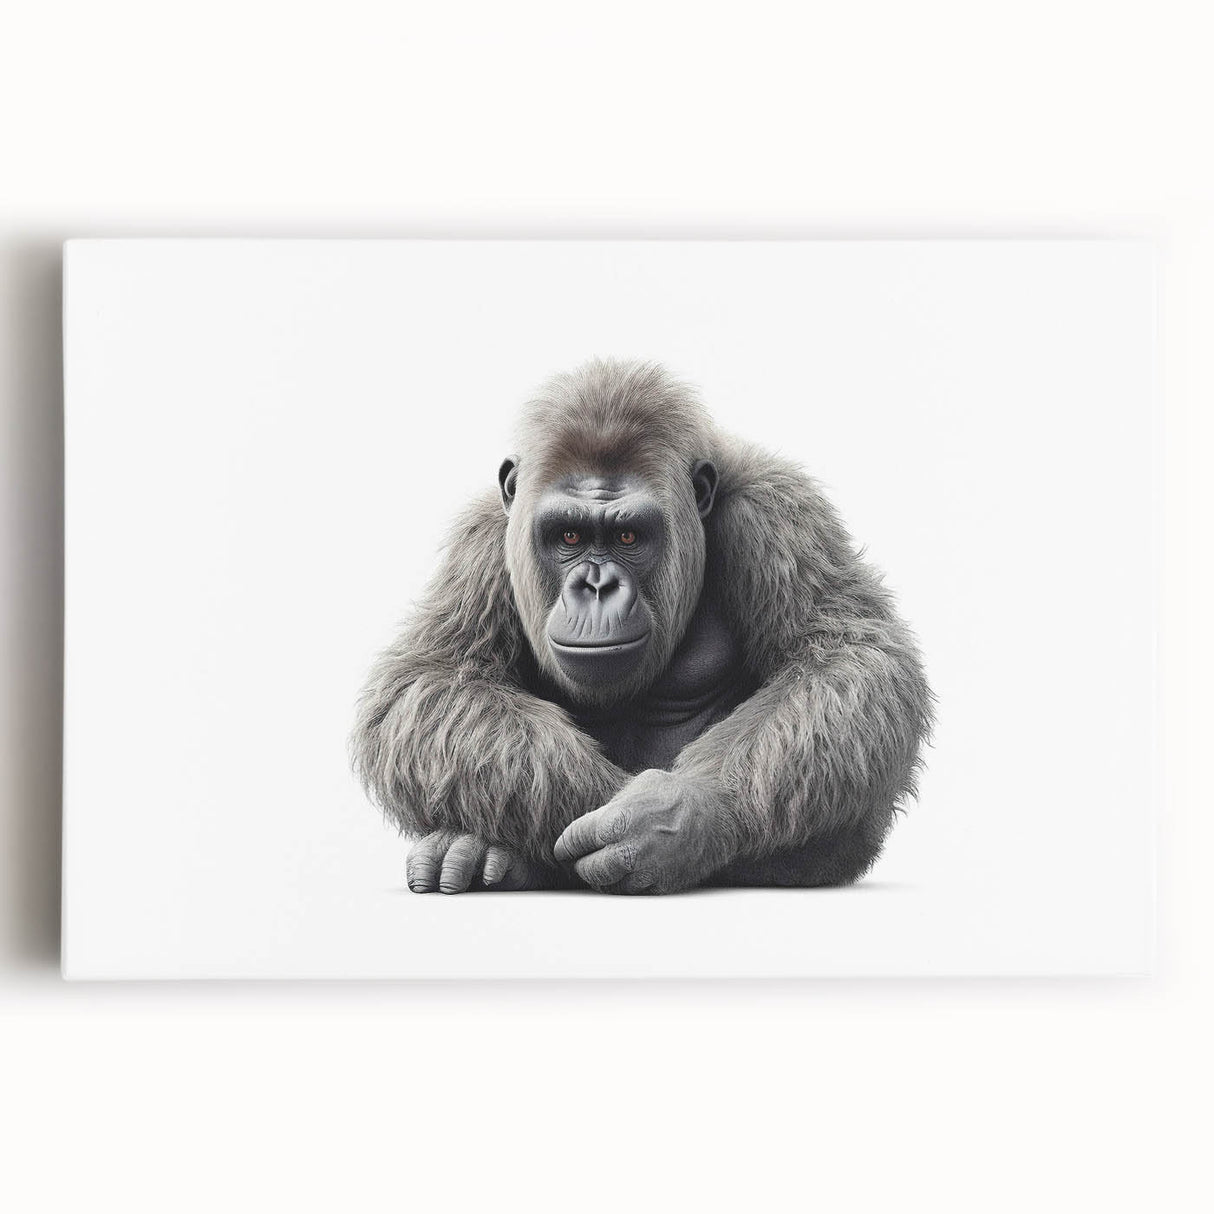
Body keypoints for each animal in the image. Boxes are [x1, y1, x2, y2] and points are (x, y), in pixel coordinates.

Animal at [352, 359, 932, 895]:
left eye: (628, 536)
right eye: (568, 535)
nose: (597, 585)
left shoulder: (776, 509)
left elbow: (846, 656)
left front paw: (677, 816)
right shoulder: (483, 536)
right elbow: (433, 678)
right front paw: (594, 809)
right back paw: (478, 852)